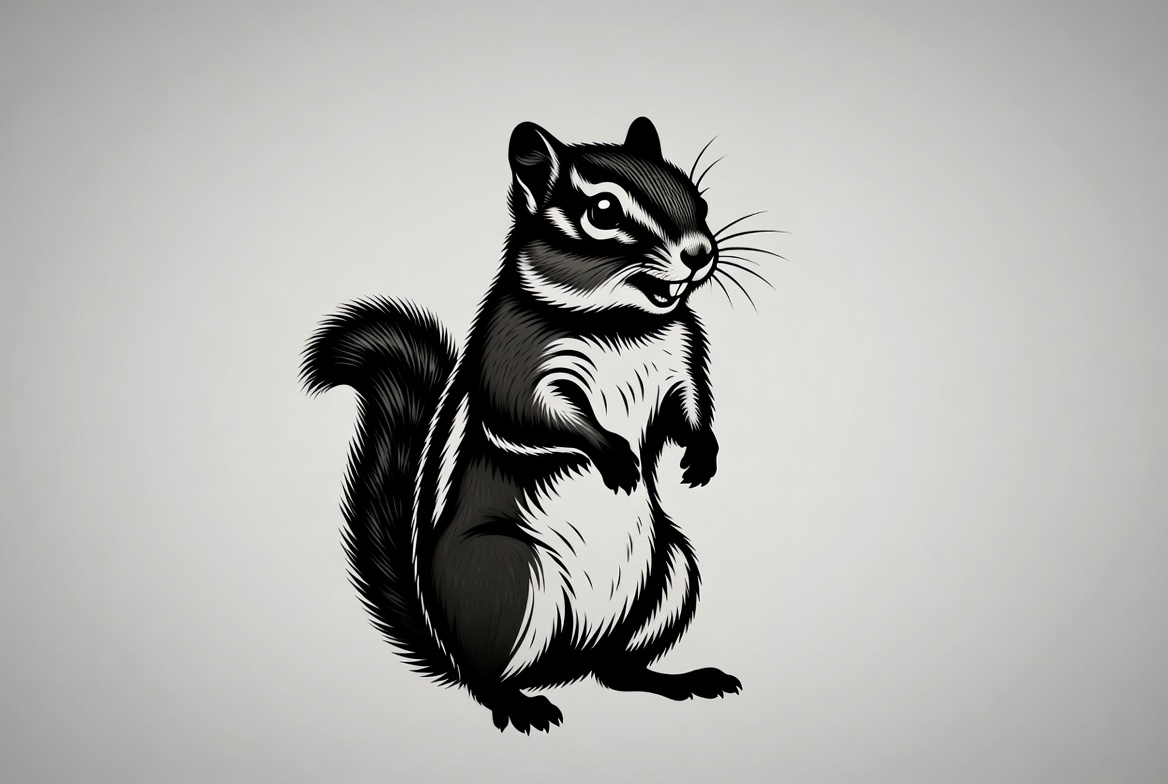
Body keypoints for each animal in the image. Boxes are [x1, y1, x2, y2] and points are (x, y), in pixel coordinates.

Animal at [303, 117, 768, 733]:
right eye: (603, 211)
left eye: (700, 200)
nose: (700, 253)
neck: (621, 324)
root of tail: (567, 659)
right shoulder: (517, 361)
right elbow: (535, 415)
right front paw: (615, 455)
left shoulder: (682, 361)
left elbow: (689, 407)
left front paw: (701, 454)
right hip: (505, 576)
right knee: (485, 679)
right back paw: (519, 704)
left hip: (671, 571)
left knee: (617, 671)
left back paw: (682, 680)